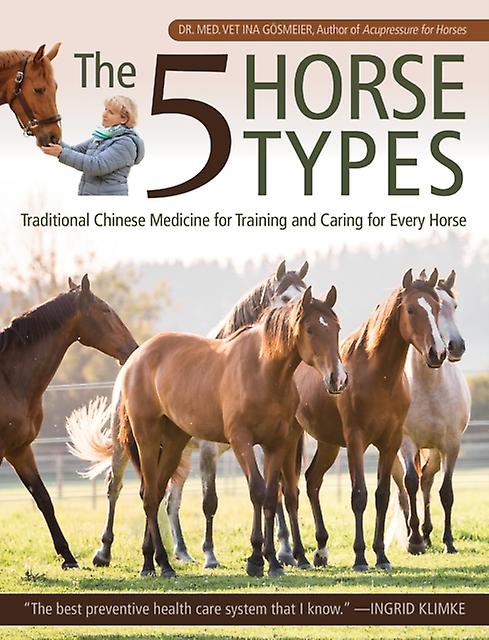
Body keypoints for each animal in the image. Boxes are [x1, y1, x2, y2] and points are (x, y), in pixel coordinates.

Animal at [0, 275, 137, 568]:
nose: (133, 349)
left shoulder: (19, 450)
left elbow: (44, 498)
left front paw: (68, 557)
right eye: (105, 310)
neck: (9, 379)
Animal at [73, 286, 346, 577]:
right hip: (144, 439)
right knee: (137, 493)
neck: (263, 371)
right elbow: (256, 491)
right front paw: (255, 559)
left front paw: (272, 562)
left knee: (156, 492)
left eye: (336, 328)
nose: (337, 379)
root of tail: (136, 357)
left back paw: (156, 561)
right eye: (310, 329)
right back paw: (148, 562)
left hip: (174, 444)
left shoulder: (276, 443)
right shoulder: (241, 441)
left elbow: (272, 496)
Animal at [292, 269, 447, 571]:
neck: (378, 376)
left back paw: (321, 550)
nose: (438, 353)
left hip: (328, 444)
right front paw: (361, 557)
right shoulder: (356, 441)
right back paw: (297, 555)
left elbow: (382, 496)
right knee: (288, 489)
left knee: (312, 480)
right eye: (411, 310)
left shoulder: (390, 442)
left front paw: (382, 556)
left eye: (436, 308)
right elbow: (359, 495)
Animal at [389, 270, 470, 555]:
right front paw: (413, 540)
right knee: (403, 488)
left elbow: (445, 491)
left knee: (428, 480)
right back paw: (413, 535)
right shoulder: (406, 442)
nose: (455, 346)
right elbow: (410, 483)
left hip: (434, 451)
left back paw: (427, 533)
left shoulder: (451, 445)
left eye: (454, 306)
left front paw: (448, 541)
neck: (429, 387)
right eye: (435, 307)